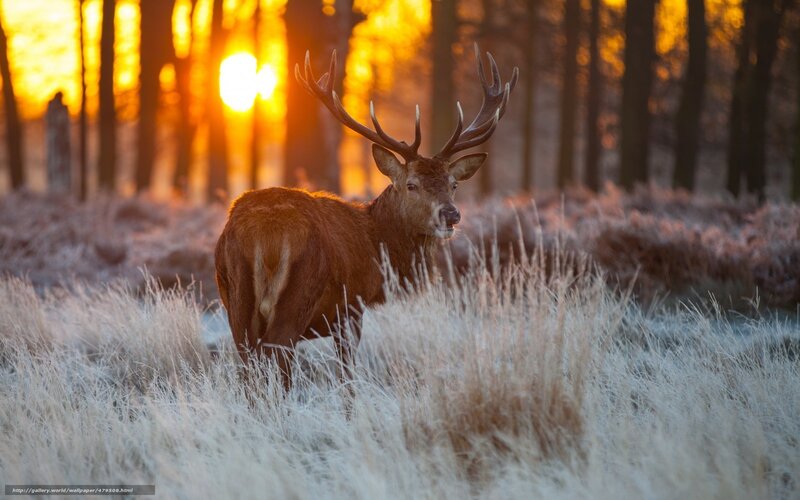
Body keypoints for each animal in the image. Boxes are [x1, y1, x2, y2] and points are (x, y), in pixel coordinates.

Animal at [215, 45, 518, 390]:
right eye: (411, 184)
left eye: (453, 184)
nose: (451, 215)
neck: (377, 245)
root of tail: (265, 233)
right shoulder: (352, 307)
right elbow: (347, 375)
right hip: (298, 294)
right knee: (275, 357)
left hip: (235, 297)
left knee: (247, 364)